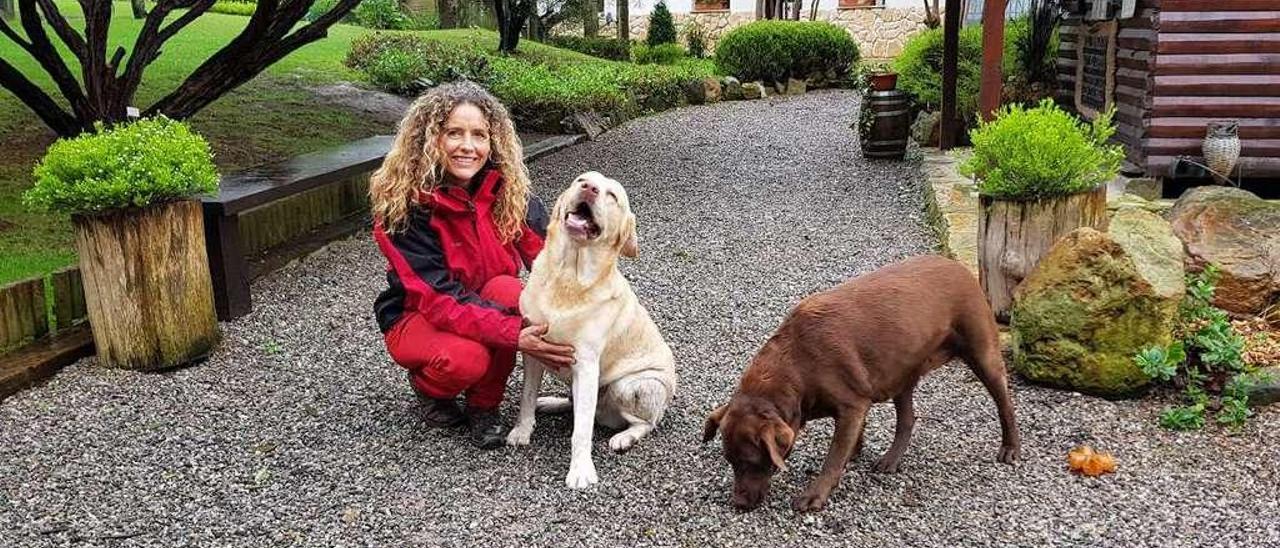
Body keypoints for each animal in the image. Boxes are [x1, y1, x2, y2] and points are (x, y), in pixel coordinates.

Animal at [504, 170, 675, 489]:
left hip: (631, 385)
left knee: (645, 423)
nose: (589, 188)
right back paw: (552, 402)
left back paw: (624, 437)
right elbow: (527, 397)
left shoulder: (585, 364)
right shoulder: (533, 350)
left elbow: (581, 430)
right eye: (581, 179)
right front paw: (522, 431)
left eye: (612, 196)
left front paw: (581, 470)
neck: (568, 277)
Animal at [701, 254, 1018, 512]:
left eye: (751, 462)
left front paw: (815, 494)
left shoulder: (852, 404)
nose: (738, 504)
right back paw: (891, 460)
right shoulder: (856, 402)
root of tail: (958, 266)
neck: (797, 366)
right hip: (901, 369)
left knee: (1004, 402)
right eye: (730, 461)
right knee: (907, 419)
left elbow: (833, 457)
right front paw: (854, 453)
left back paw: (1010, 448)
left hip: (982, 352)